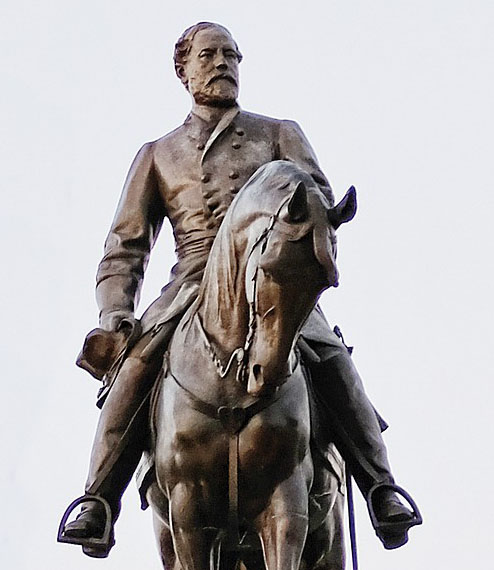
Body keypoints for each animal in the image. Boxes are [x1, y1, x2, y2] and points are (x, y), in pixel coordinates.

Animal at [145, 160, 357, 570]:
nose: (266, 374)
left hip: (327, 538)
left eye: (325, 283)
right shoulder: (187, 514)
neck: (227, 379)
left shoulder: (286, 504)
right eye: (269, 268)